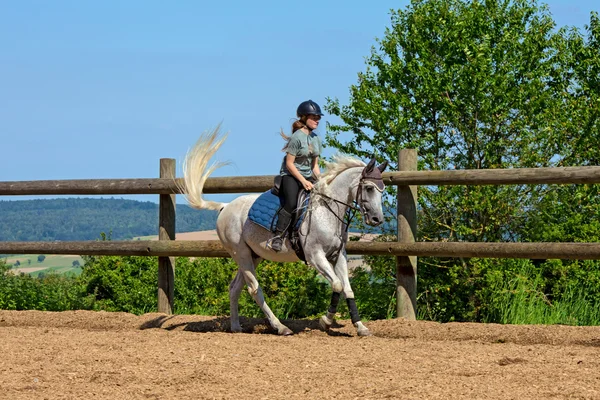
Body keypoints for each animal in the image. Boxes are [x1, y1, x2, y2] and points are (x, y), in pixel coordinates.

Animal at [180, 127, 386, 334]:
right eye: (369, 188)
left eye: (382, 190)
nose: (377, 219)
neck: (327, 210)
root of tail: (225, 207)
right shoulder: (315, 256)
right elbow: (336, 284)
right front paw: (325, 321)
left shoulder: (338, 255)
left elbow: (347, 289)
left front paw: (360, 327)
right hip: (241, 253)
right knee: (254, 289)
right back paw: (280, 327)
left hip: (254, 255)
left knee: (234, 288)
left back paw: (236, 327)